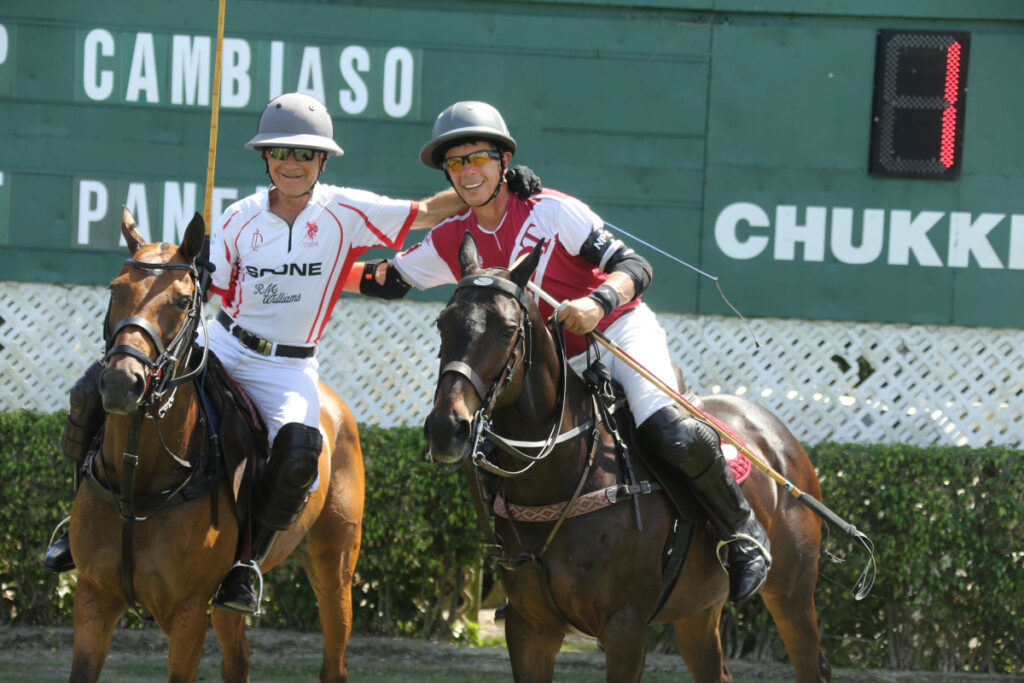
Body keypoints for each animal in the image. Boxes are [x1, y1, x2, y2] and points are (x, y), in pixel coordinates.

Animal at [68, 209, 366, 683]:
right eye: (116, 289)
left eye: (181, 300)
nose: (119, 382)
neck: (138, 477)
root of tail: (334, 402)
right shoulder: (93, 596)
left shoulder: (187, 612)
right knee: (238, 656)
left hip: (334, 563)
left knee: (334, 660)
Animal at [423, 236, 831, 683]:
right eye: (443, 323)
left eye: (509, 329)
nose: (446, 428)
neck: (562, 475)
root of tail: (780, 436)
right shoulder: (528, 626)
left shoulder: (625, 627)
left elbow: (628, 260)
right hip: (698, 610)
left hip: (793, 594)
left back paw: (751, 552)